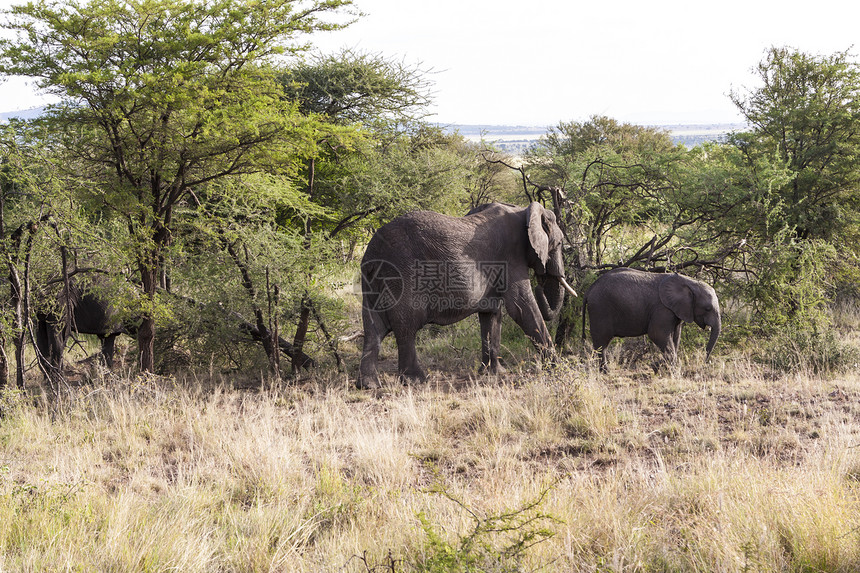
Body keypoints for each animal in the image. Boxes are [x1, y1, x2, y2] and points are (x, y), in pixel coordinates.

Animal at [356, 201, 576, 388]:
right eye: (558, 244)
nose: (541, 284)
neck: (524, 210)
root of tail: (371, 253)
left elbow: (491, 315)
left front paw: (493, 373)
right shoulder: (512, 257)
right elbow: (521, 307)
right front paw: (559, 369)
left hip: (374, 281)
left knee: (374, 328)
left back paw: (368, 385)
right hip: (402, 274)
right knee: (406, 325)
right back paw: (417, 381)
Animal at [584, 268, 720, 370]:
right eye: (708, 308)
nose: (704, 362)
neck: (690, 282)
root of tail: (590, 288)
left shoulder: (676, 310)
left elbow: (676, 336)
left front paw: (663, 366)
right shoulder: (662, 309)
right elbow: (657, 334)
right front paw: (666, 368)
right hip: (600, 309)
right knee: (601, 341)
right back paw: (605, 371)